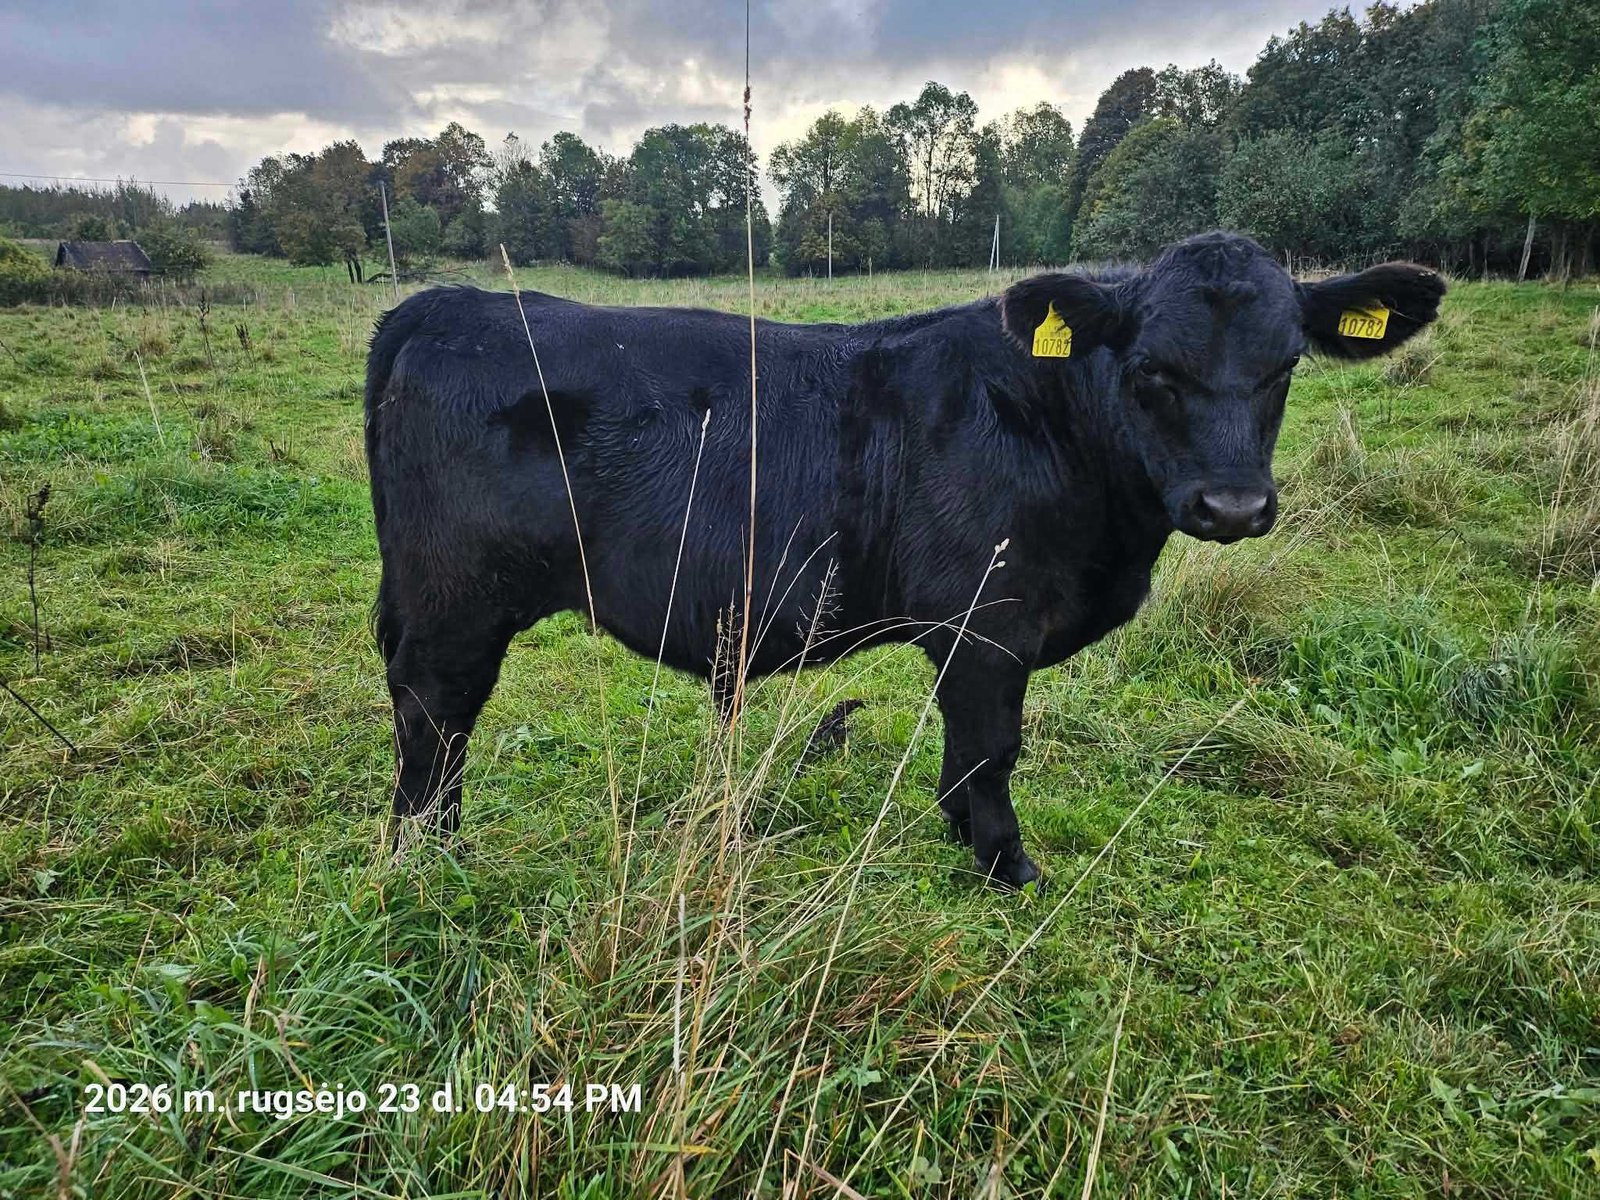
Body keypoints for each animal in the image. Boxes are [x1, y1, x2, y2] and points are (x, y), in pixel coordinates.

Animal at [364, 231, 1444, 890]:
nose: (1232, 505)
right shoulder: (988, 623)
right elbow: (992, 750)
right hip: (455, 605)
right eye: (1150, 372)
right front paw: (1007, 868)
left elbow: (967, 756)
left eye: (1286, 365)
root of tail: (448, 303)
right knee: (434, 726)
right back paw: (429, 858)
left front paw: (965, 838)